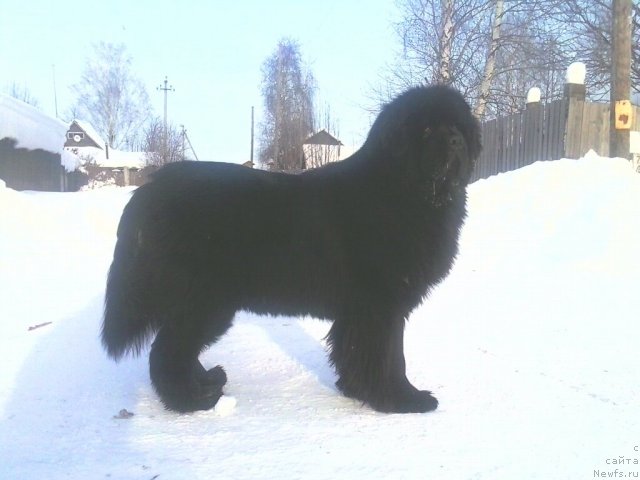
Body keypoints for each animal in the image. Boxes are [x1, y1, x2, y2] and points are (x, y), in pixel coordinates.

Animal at [101, 85, 480, 412]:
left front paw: (358, 390)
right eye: (426, 129)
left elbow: (357, 352)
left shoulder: (363, 310)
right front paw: (401, 400)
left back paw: (208, 382)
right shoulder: (379, 304)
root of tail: (150, 189)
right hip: (203, 299)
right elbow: (389, 357)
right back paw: (192, 401)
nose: (456, 141)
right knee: (168, 352)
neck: (401, 189)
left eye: (457, 125)